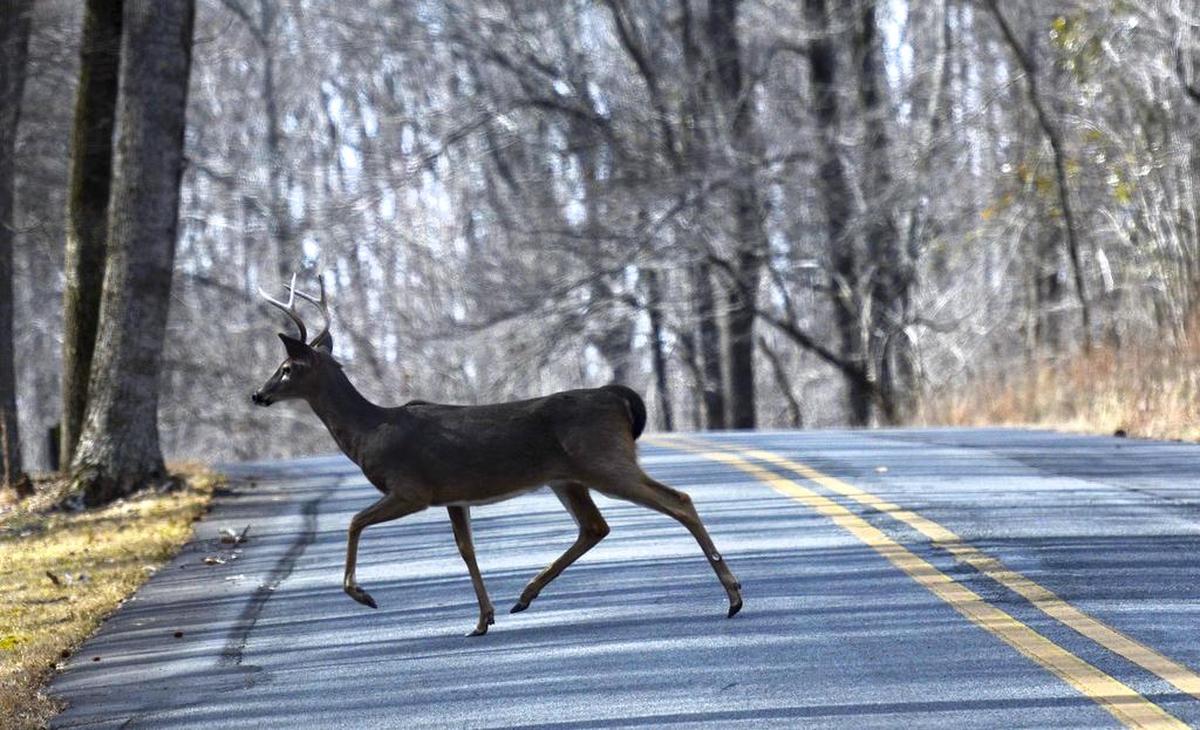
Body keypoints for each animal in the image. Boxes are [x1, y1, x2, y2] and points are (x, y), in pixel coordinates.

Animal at [251, 274, 742, 636]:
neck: (369, 432)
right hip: (567, 476)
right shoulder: (453, 496)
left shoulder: (411, 488)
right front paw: (481, 619)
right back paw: (523, 596)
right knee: (595, 526)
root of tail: (617, 396)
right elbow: (465, 549)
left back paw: (734, 597)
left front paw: (363, 595)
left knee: (677, 500)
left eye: (286, 368)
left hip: (603, 461)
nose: (258, 395)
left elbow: (354, 522)